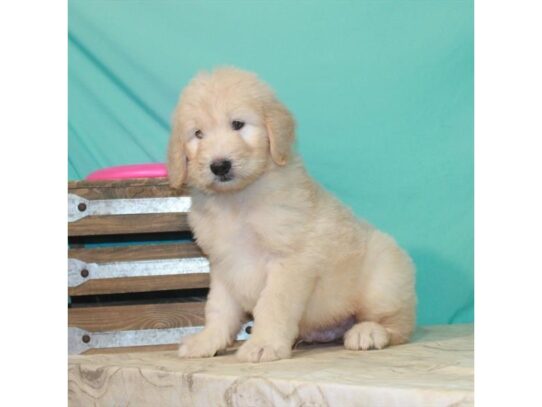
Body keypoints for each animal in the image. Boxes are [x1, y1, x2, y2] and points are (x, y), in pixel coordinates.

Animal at [168, 67, 418, 364]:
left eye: (238, 124)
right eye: (198, 134)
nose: (219, 166)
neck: (237, 200)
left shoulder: (289, 260)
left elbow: (273, 304)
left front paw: (264, 344)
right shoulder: (223, 265)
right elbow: (218, 309)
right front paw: (208, 341)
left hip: (384, 281)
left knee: (398, 325)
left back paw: (368, 332)